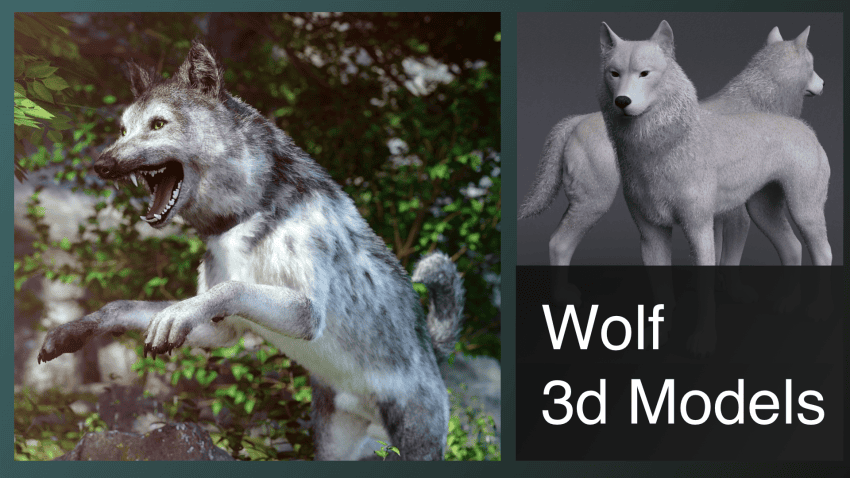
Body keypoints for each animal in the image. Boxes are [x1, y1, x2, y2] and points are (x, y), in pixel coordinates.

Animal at [36, 41, 465, 461]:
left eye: (158, 124)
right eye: (123, 130)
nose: (102, 165)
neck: (245, 214)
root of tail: (434, 352)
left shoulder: (309, 313)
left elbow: (232, 288)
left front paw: (173, 317)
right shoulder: (220, 331)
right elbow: (121, 306)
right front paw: (72, 332)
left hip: (416, 443)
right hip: (333, 445)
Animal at [519, 26, 823, 270]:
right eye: (813, 64)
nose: (823, 83)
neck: (756, 101)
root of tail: (574, 121)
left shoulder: (716, 216)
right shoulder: (735, 217)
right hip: (593, 203)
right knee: (558, 243)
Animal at [597, 21, 831, 353]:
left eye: (644, 73)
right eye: (614, 74)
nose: (622, 102)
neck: (664, 146)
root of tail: (806, 128)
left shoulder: (703, 227)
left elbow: (709, 286)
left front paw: (704, 340)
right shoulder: (652, 235)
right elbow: (662, 296)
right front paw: (660, 335)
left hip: (804, 212)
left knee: (823, 253)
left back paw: (819, 310)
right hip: (764, 212)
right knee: (793, 246)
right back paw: (787, 302)